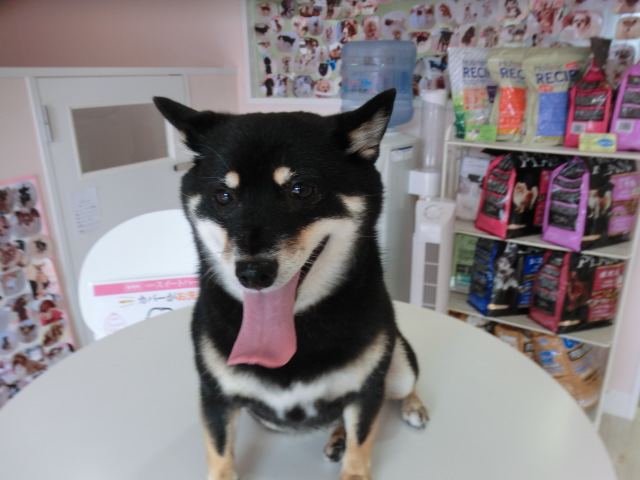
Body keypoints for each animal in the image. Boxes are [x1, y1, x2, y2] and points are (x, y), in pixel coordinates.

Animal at [153, 90, 428, 480]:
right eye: (223, 196)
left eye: (301, 190)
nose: (252, 273)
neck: (295, 329)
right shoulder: (215, 395)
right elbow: (219, 454)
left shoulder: (368, 389)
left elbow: (361, 445)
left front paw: (353, 466)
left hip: (399, 363)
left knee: (403, 388)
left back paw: (410, 408)